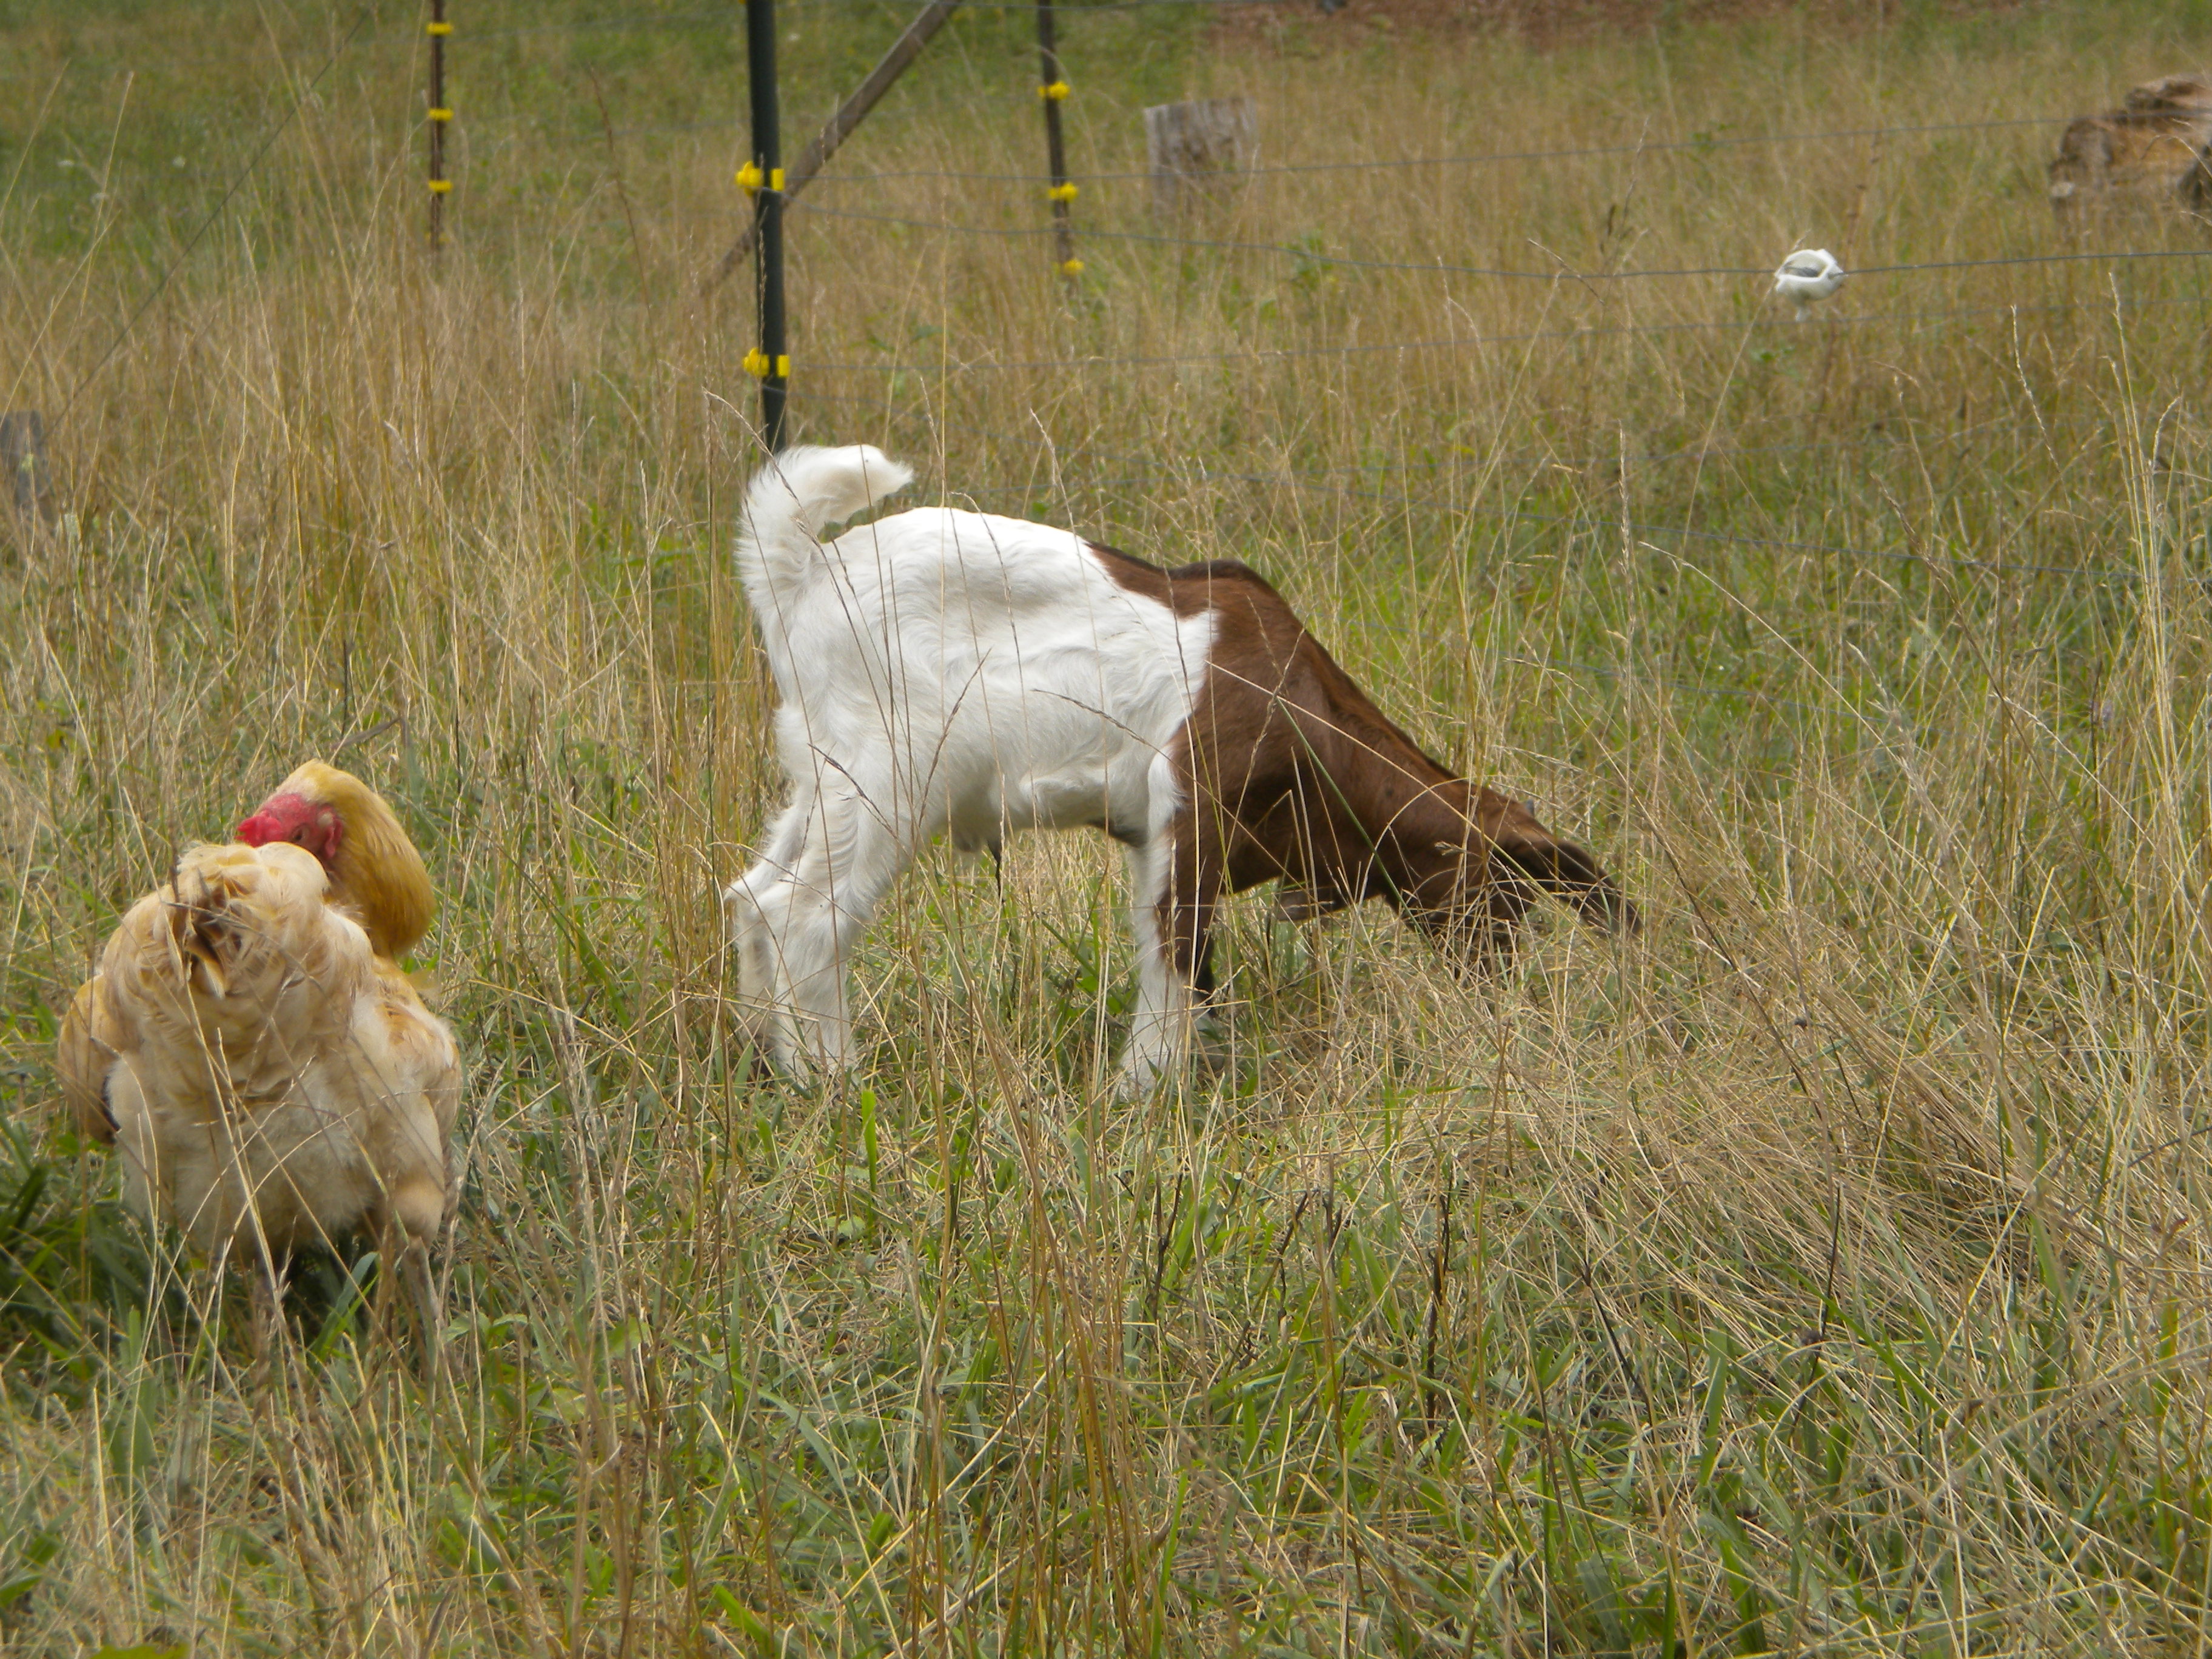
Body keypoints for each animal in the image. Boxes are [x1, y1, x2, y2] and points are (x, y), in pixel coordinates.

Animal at [724, 444, 1635, 1093]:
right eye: (1506, 895)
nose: (1500, 986)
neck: (1311, 716)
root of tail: (802, 577)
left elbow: (1196, 972)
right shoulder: (1189, 817)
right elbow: (1176, 957)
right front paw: (1144, 1091)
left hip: (823, 772)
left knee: (756, 895)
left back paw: (769, 1060)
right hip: (889, 773)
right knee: (809, 912)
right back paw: (833, 1078)